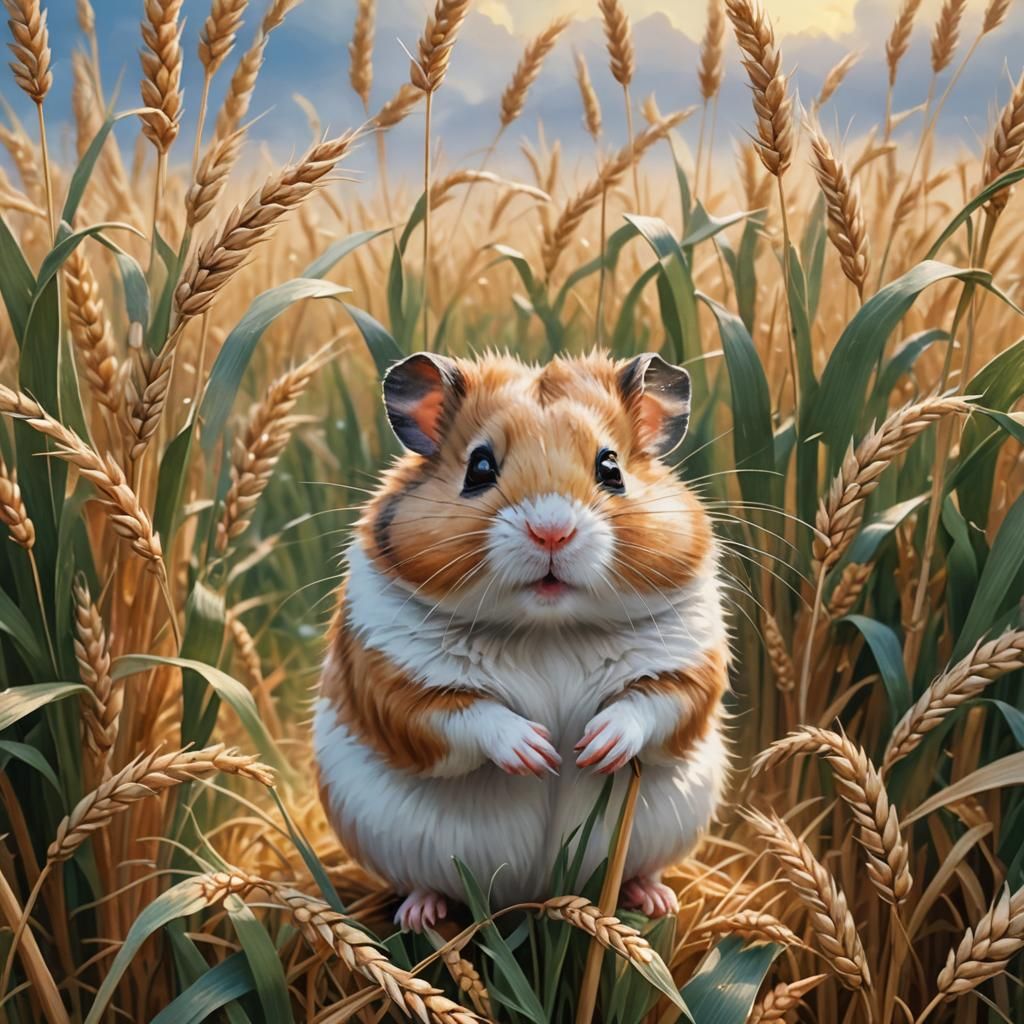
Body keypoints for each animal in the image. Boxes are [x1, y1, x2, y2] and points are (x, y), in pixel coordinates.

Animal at [314, 351, 730, 931]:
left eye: (611, 468)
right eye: (479, 467)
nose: (551, 531)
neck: (546, 630)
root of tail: (529, 897)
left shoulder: (689, 662)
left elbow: (650, 704)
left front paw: (591, 749)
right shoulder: (392, 679)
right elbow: (464, 715)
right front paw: (539, 753)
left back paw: (654, 899)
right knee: (423, 883)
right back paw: (420, 914)